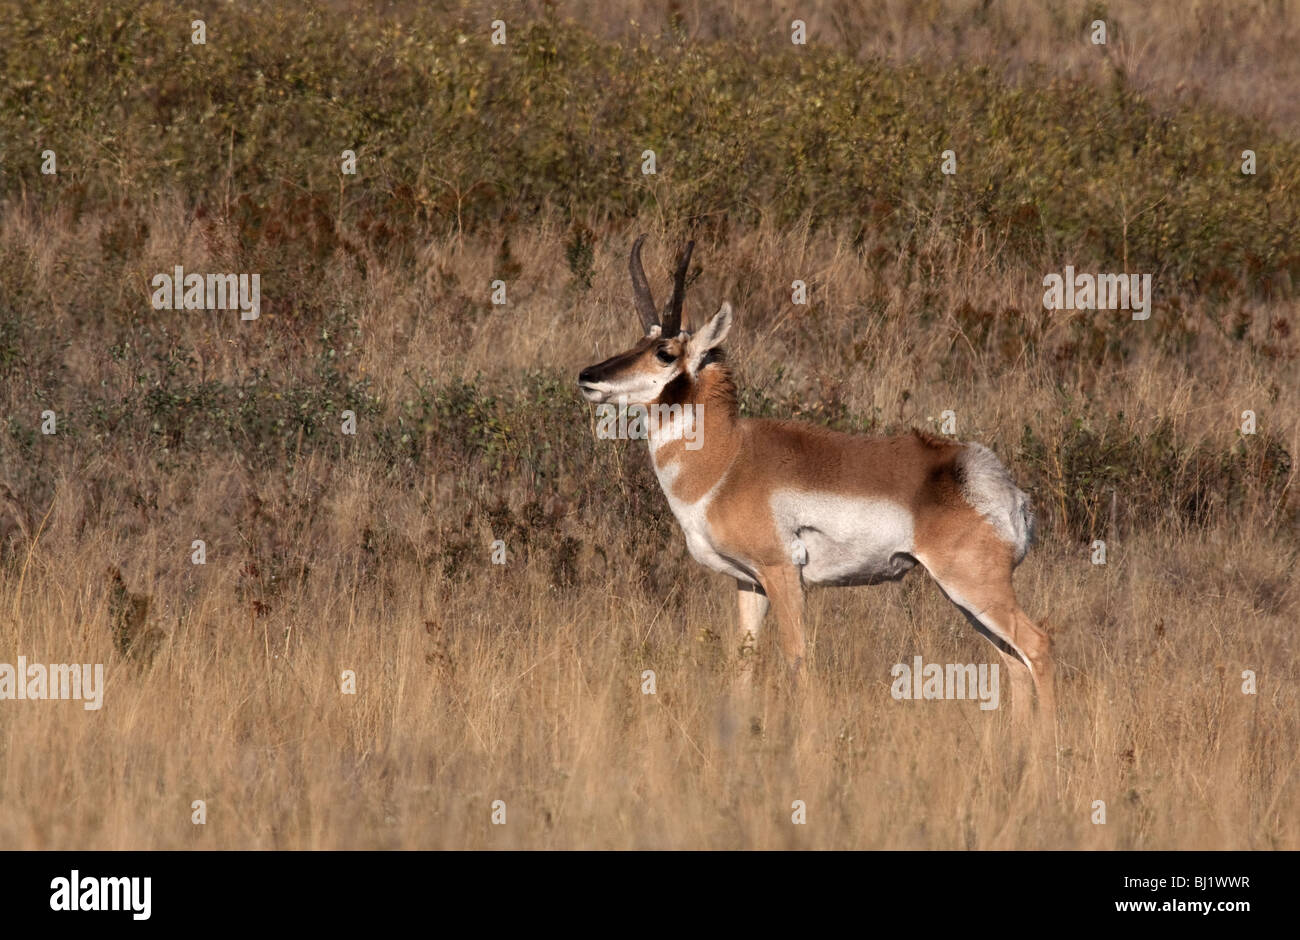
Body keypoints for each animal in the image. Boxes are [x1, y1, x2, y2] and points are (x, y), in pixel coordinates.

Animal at [579, 239, 1055, 722]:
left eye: (665, 351)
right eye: (640, 339)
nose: (588, 376)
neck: (729, 459)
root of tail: (996, 484)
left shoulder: (782, 572)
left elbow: (797, 657)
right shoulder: (749, 582)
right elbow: (744, 660)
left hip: (974, 588)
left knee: (1038, 646)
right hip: (966, 599)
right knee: (1013, 661)